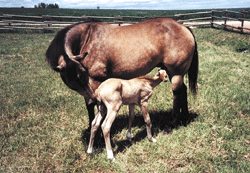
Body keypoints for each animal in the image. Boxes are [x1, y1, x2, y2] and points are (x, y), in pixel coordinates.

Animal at [46, 17, 198, 130]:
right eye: (75, 79)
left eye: (82, 74)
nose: (92, 96)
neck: (87, 38)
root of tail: (184, 27)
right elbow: (89, 105)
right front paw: (91, 128)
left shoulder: (95, 82)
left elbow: (96, 106)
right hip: (175, 73)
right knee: (183, 91)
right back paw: (184, 119)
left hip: (176, 73)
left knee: (177, 94)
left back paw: (173, 123)